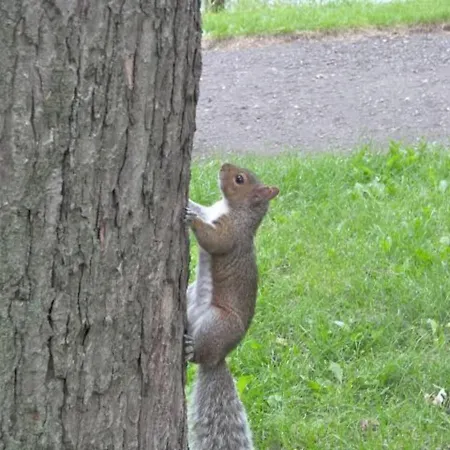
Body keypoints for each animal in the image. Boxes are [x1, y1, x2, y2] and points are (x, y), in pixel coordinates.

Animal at [184, 162, 279, 450]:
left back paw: (190, 349)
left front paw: (191, 218)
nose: (223, 165)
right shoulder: (212, 211)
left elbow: (214, 240)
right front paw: (188, 202)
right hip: (190, 295)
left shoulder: (231, 233)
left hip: (217, 323)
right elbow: (202, 208)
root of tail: (220, 357)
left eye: (239, 179)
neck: (230, 208)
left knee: (199, 356)